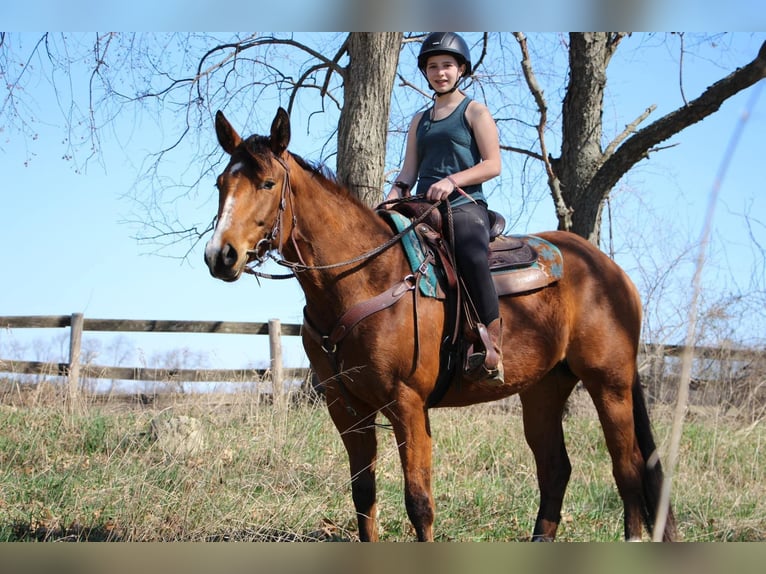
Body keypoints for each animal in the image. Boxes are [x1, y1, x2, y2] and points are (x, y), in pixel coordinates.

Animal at [202, 108, 680, 544]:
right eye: (221, 184)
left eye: (267, 183)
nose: (220, 255)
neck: (365, 276)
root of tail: (611, 271)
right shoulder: (346, 407)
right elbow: (363, 496)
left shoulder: (407, 403)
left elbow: (418, 501)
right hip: (544, 388)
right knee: (555, 468)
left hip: (609, 383)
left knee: (627, 467)